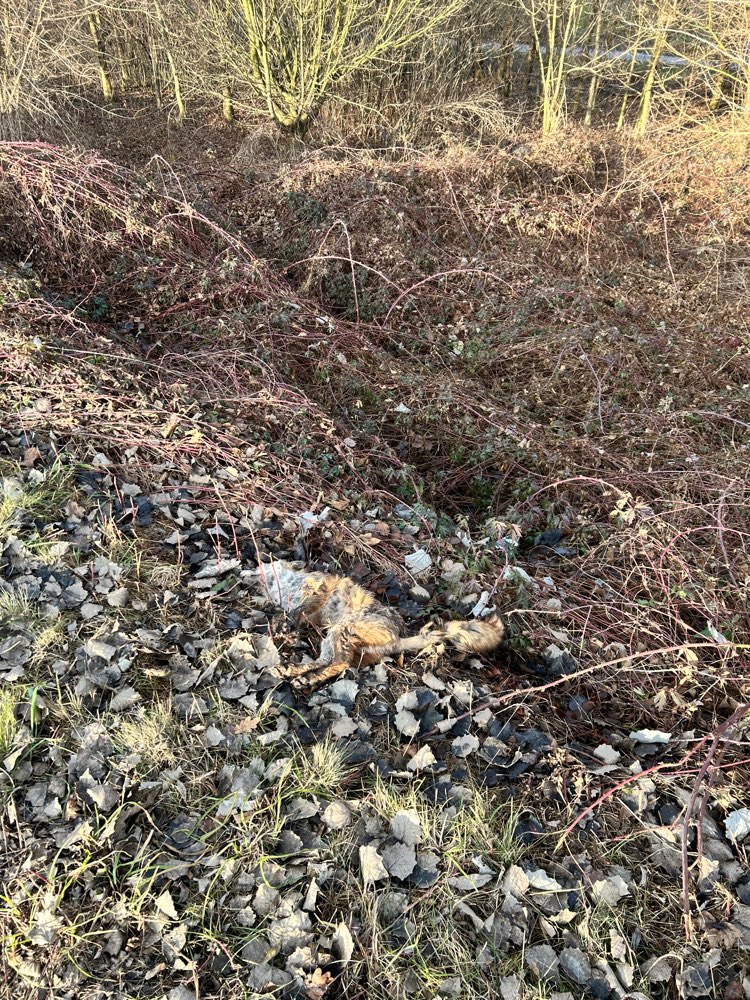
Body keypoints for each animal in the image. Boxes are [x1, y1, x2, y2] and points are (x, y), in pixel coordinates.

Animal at [246, 560, 505, 689]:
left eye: (265, 565)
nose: (246, 569)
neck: (287, 584)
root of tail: (398, 639)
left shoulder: (317, 595)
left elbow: (296, 612)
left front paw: (285, 628)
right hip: (332, 638)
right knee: (327, 662)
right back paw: (296, 673)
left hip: (342, 630)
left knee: (339, 663)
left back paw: (304, 678)